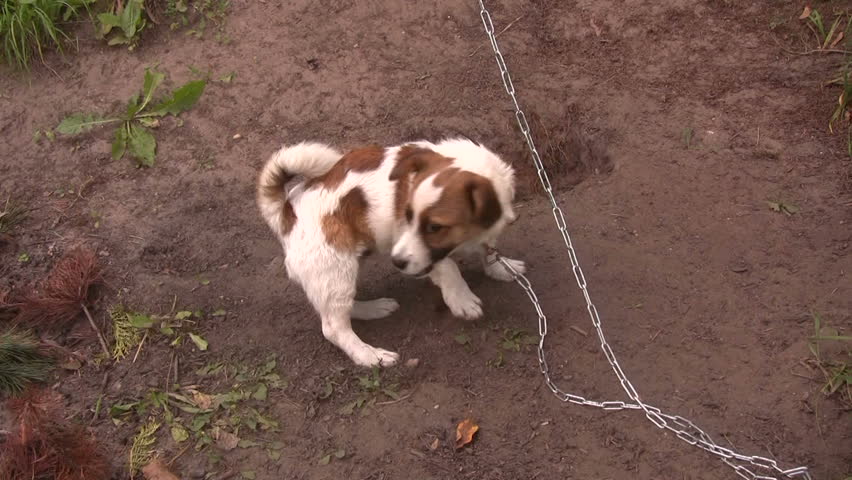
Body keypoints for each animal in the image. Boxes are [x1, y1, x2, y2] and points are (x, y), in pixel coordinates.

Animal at [258, 139, 524, 368]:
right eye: (407, 215)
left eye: (435, 227)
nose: (396, 262)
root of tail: (287, 211)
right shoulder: (413, 247)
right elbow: (449, 267)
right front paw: (462, 299)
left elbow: (488, 249)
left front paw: (500, 267)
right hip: (336, 270)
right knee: (334, 327)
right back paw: (369, 355)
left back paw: (374, 309)